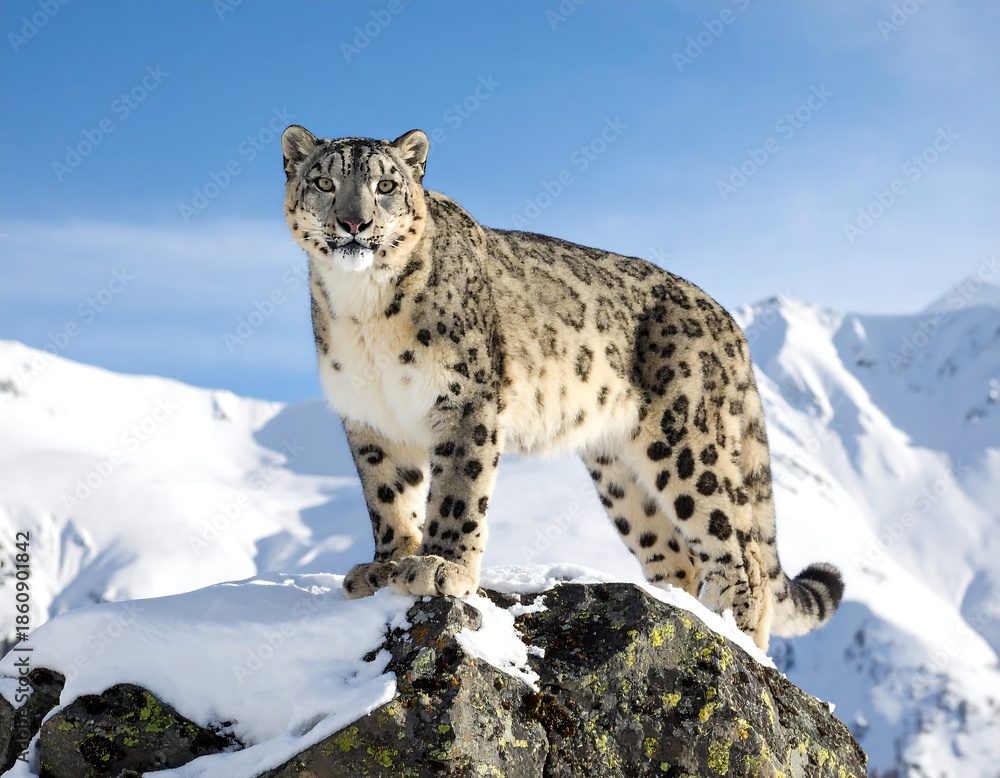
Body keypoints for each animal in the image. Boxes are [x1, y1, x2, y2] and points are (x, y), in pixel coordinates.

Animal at [280, 124, 843, 650]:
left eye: (386, 185)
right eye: (325, 183)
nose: (355, 223)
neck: (363, 308)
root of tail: (728, 321)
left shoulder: (465, 401)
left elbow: (457, 491)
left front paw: (441, 567)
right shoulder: (370, 418)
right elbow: (388, 497)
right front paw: (384, 566)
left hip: (688, 442)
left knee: (742, 551)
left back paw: (735, 633)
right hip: (619, 475)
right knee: (677, 554)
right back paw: (682, 610)